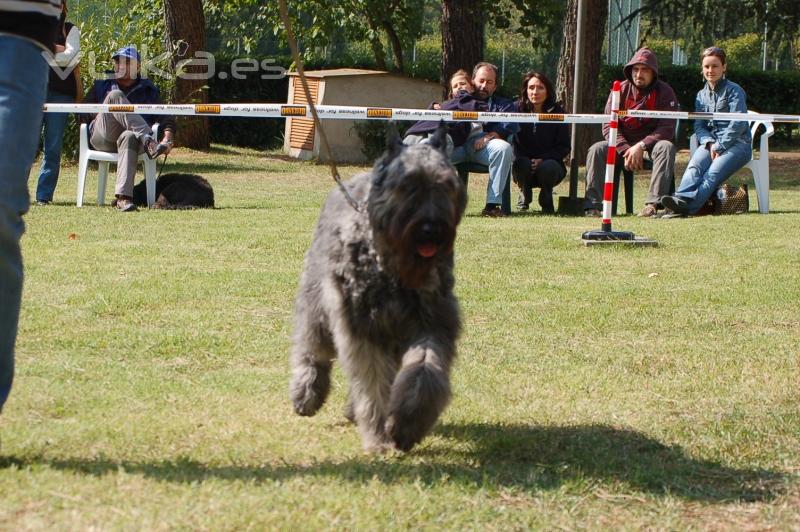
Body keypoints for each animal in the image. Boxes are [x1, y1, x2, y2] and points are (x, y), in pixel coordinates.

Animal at [290, 124, 466, 454]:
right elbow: (372, 383)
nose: (431, 229)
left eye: (447, 185)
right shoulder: (363, 327)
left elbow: (423, 369)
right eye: (407, 185)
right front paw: (379, 437)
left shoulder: (430, 323)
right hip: (317, 304)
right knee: (312, 347)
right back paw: (306, 393)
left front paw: (407, 424)